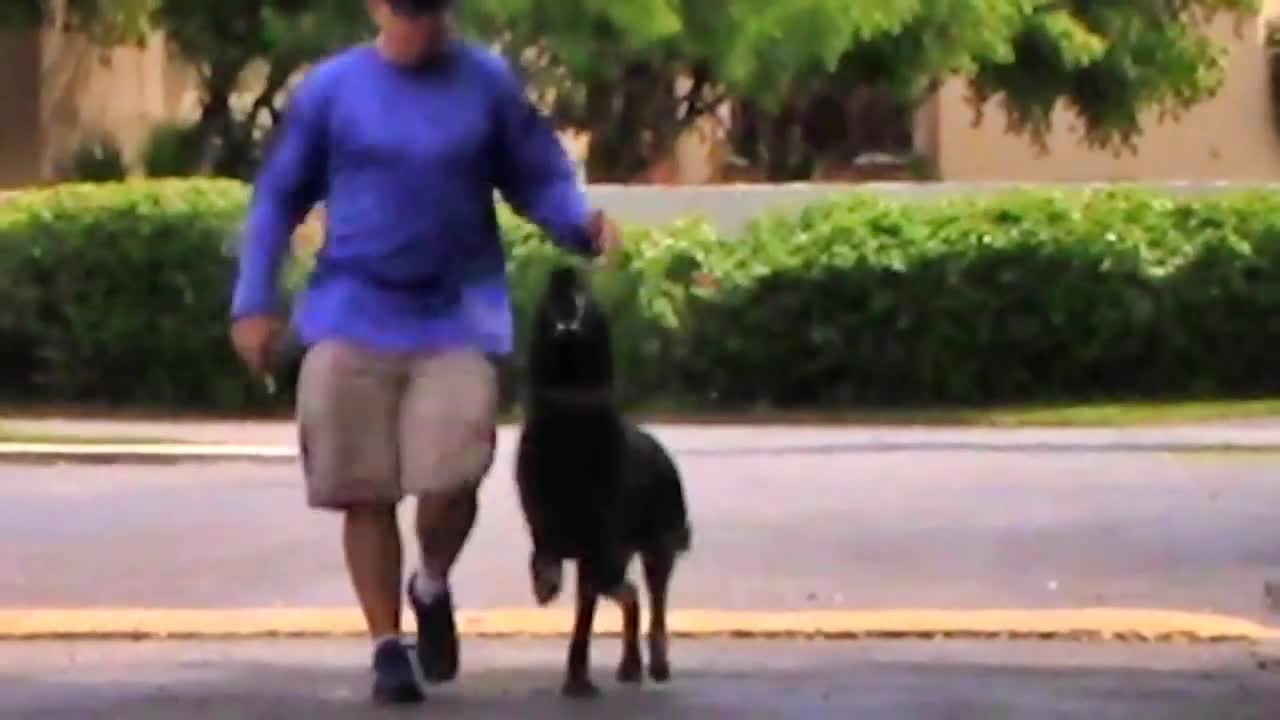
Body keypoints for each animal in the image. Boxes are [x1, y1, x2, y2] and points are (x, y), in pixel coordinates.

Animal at [512, 263, 691, 696]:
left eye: (589, 297)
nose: (563, 271)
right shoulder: (546, 524)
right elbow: (545, 556)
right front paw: (545, 581)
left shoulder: (601, 545)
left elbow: (591, 609)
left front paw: (578, 676)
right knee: (629, 596)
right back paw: (629, 663)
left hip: (657, 547)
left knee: (651, 602)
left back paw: (655, 660)